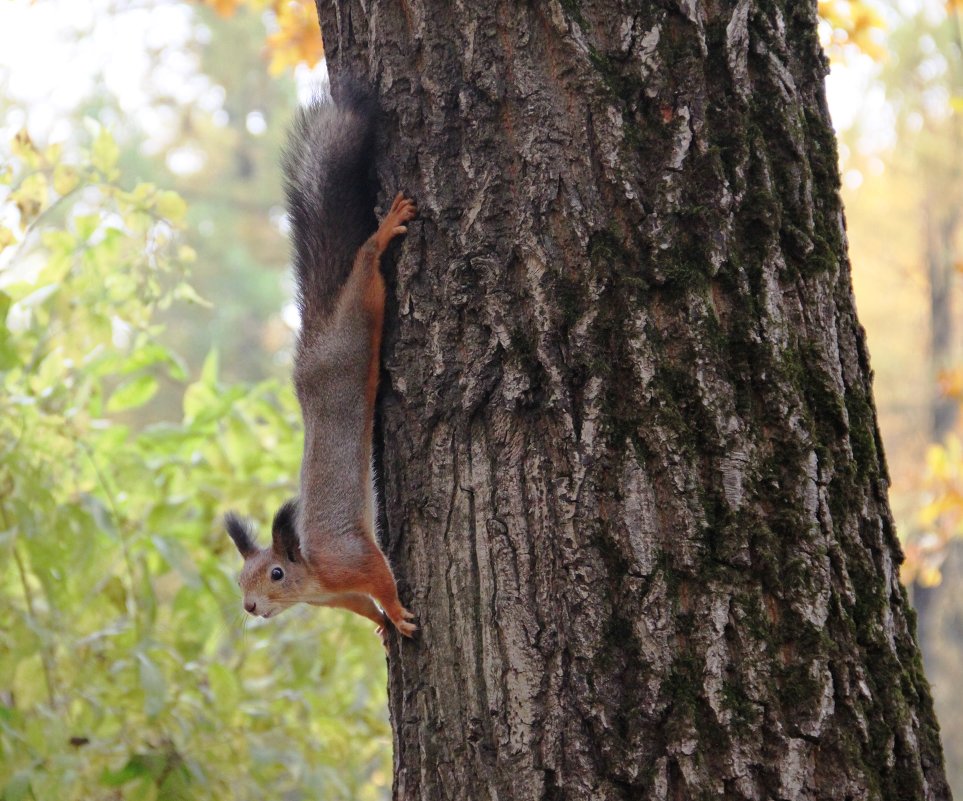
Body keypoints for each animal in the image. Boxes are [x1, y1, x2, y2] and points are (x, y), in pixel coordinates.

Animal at [228, 81, 420, 640]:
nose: (251, 607)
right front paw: (380, 623)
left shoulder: (350, 558)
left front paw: (398, 612)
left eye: (275, 573)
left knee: (365, 268)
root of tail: (313, 344)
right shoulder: (338, 597)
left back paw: (385, 231)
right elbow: (363, 605)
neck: (313, 578)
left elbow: (381, 576)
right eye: (239, 580)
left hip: (356, 324)